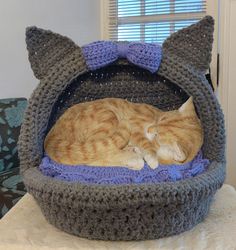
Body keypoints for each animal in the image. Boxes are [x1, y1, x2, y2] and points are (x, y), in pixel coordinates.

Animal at [44, 96, 203, 171]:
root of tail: (52, 136)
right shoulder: (134, 127)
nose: (149, 129)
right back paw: (133, 159)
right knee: (93, 157)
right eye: (160, 119)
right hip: (108, 117)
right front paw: (151, 159)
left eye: (158, 135)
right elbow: (145, 144)